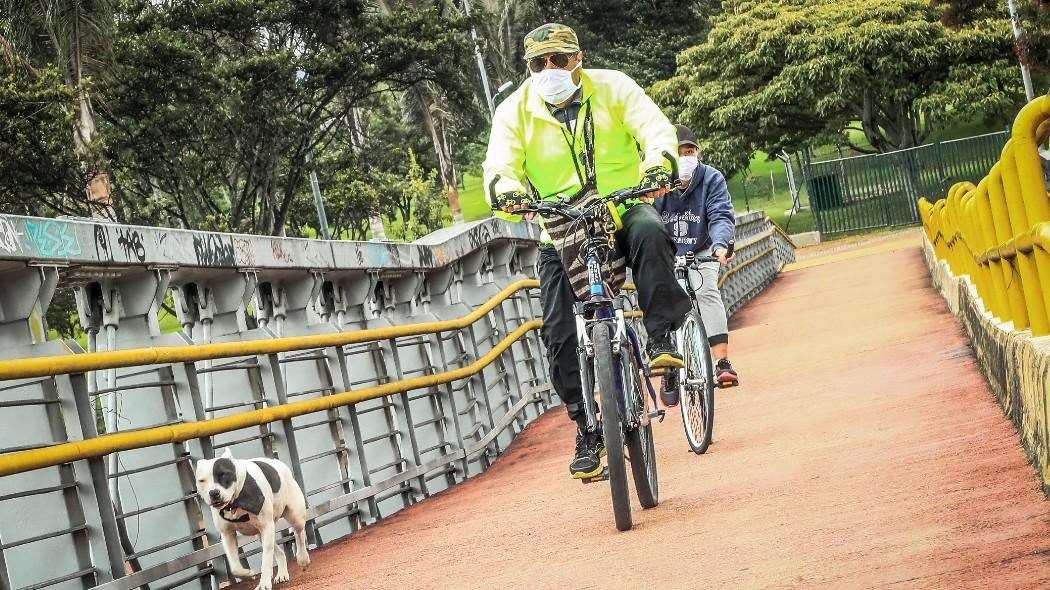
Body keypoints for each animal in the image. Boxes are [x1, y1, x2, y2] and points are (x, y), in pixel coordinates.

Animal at [194, 447, 308, 583]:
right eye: (202, 480)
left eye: (223, 474)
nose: (213, 492)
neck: (235, 502)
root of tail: (278, 463)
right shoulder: (227, 534)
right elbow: (235, 568)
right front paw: (248, 573)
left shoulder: (266, 527)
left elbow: (266, 560)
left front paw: (263, 584)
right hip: (261, 534)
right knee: (279, 551)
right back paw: (282, 574)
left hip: (294, 517)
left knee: (299, 534)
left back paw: (303, 559)